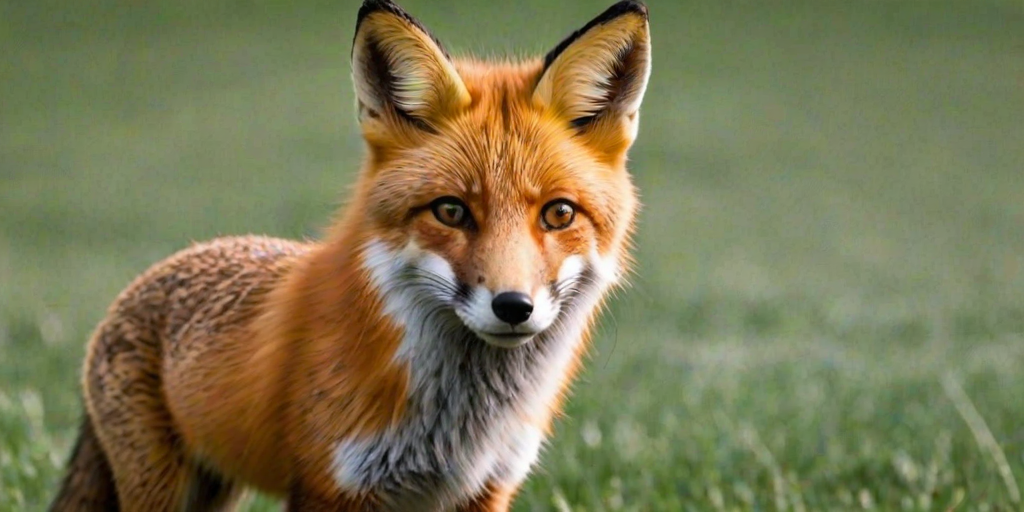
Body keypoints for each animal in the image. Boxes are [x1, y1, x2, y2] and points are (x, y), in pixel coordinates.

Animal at [49, 0, 651, 510]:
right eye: (451, 211)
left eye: (559, 214)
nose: (513, 307)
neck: (455, 427)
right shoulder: (330, 484)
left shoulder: (485, 489)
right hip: (164, 488)